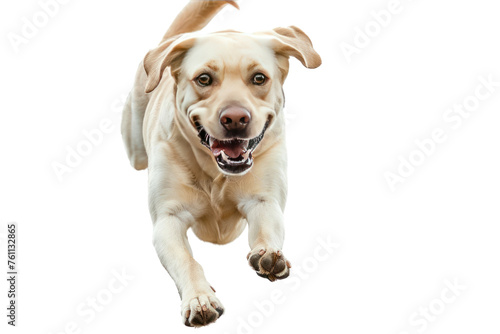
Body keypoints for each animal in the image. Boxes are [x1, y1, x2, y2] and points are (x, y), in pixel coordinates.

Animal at [121, 0, 320, 328]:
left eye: (259, 78)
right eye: (204, 79)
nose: (236, 119)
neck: (216, 172)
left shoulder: (264, 201)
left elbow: (266, 231)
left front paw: (269, 254)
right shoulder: (168, 220)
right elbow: (188, 261)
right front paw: (200, 299)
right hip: (135, 147)